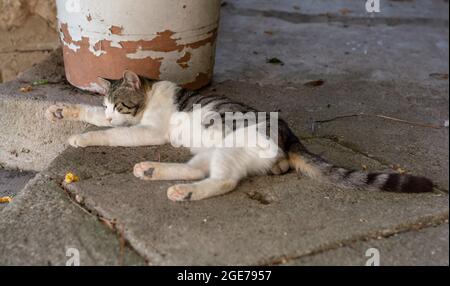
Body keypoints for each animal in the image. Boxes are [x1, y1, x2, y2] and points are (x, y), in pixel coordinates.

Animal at [44, 71, 432, 201]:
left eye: (120, 104)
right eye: (107, 104)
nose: (111, 112)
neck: (152, 94)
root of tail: (290, 138)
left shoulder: (146, 130)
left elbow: (111, 134)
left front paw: (83, 139)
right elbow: (91, 116)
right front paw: (60, 112)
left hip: (232, 149)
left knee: (223, 181)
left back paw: (184, 192)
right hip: (211, 151)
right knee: (198, 169)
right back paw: (154, 171)